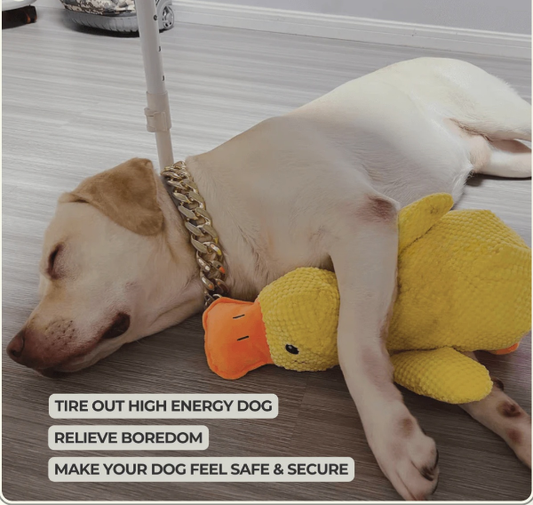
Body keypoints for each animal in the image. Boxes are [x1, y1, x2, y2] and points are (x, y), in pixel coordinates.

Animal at [6, 57, 528, 498]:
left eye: (54, 259)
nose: (14, 350)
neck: (217, 215)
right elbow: (450, 369)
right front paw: (510, 419)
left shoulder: (362, 226)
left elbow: (355, 348)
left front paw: (392, 438)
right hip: (502, 158)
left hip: (501, 116)